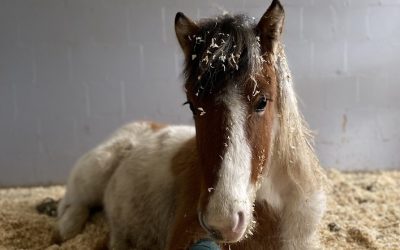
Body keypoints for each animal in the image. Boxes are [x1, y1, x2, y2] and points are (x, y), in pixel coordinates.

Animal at [57, 0, 324, 249]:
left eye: (262, 101)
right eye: (192, 106)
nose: (222, 221)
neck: (277, 208)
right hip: (92, 172)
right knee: (72, 204)